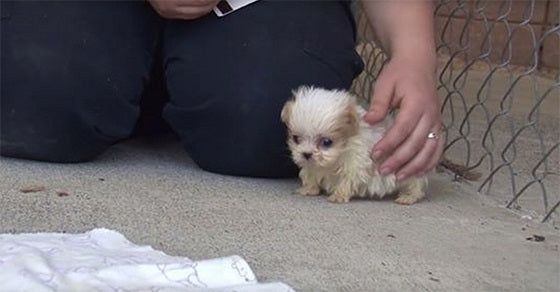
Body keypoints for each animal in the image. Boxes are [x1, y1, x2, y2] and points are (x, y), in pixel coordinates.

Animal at [282, 85, 426, 204]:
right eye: (296, 138)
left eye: (327, 142)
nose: (306, 154)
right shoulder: (312, 166)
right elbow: (311, 175)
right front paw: (309, 189)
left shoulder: (355, 162)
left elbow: (347, 179)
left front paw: (339, 195)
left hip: (407, 167)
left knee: (415, 183)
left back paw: (409, 197)